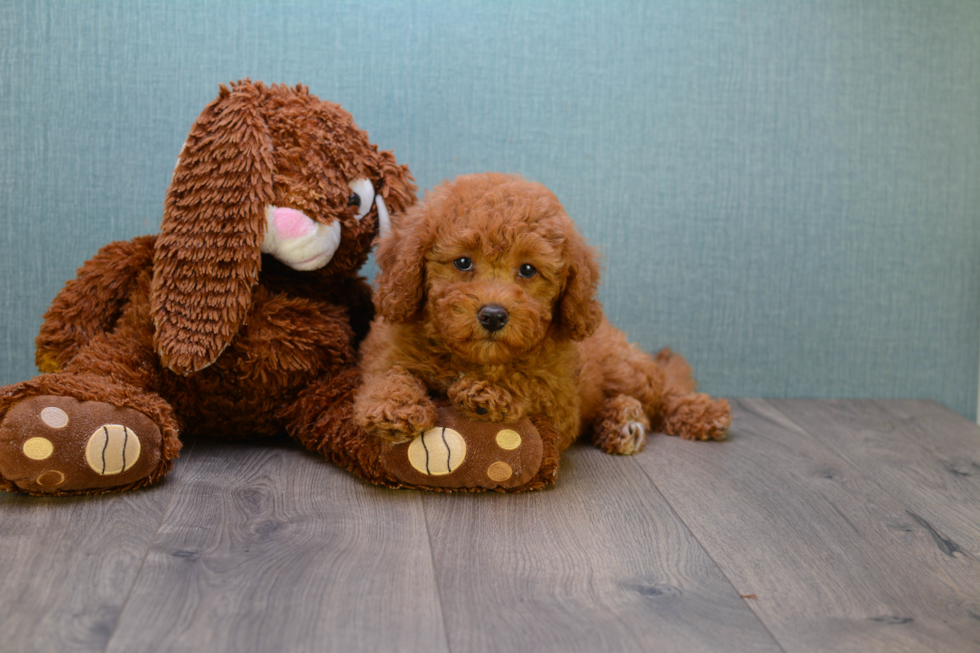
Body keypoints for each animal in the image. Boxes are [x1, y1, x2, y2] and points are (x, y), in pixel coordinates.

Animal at [356, 176, 732, 456]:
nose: (493, 315)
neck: (474, 358)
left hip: (624, 367)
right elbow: (389, 373)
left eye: (527, 270)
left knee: (663, 389)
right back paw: (622, 420)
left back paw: (700, 412)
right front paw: (392, 406)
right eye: (462, 262)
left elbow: (531, 383)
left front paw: (489, 392)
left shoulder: (561, 405)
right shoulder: (388, 350)